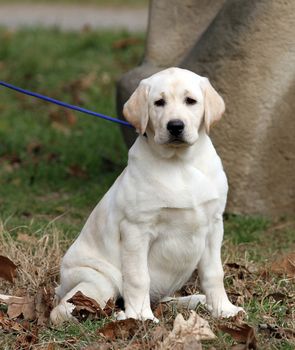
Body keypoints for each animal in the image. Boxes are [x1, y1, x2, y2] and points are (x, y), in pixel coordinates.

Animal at [51, 67, 245, 324]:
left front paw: (223, 309)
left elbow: (214, 272)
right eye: (159, 103)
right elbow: (138, 277)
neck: (179, 163)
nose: (175, 126)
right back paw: (116, 314)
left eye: (190, 101)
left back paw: (195, 300)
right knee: (62, 310)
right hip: (98, 280)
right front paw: (140, 317)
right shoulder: (136, 230)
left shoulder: (213, 225)